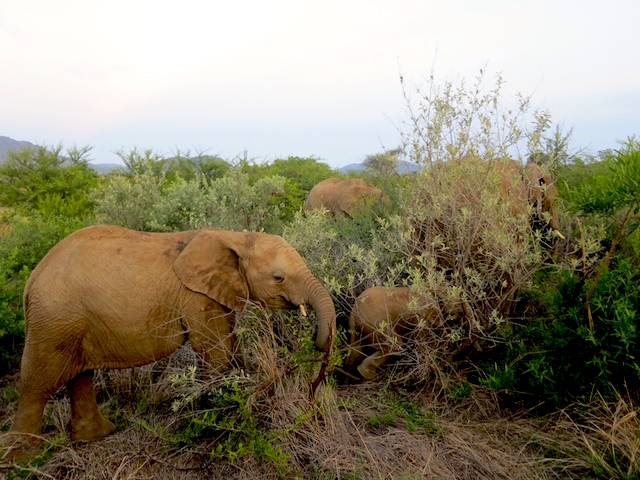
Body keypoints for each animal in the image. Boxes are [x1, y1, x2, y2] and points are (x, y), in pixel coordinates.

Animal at [7, 225, 338, 454]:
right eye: (278, 278)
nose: (316, 342)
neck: (235, 237)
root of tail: (30, 281)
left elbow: (228, 347)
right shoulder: (196, 296)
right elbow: (216, 351)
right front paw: (216, 420)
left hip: (71, 321)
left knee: (80, 376)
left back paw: (98, 436)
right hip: (54, 320)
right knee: (37, 384)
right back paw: (24, 459)